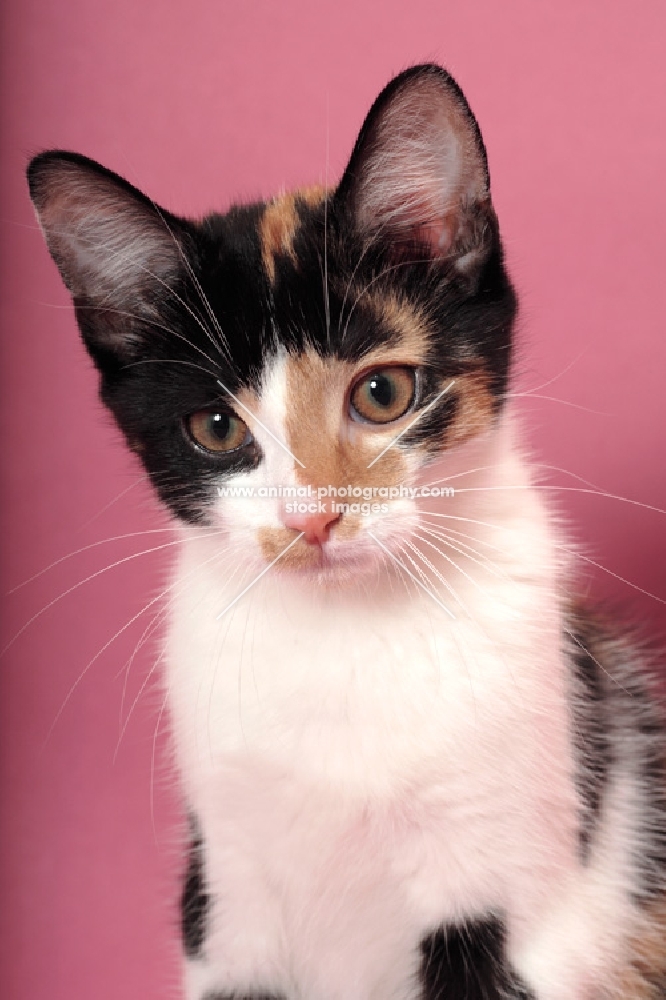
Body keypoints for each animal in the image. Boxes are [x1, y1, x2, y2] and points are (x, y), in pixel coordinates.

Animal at [27, 64, 664, 1000]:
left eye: (383, 393)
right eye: (216, 427)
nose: (312, 518)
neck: (343, 637)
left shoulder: (514, 885)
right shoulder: (228, 899)